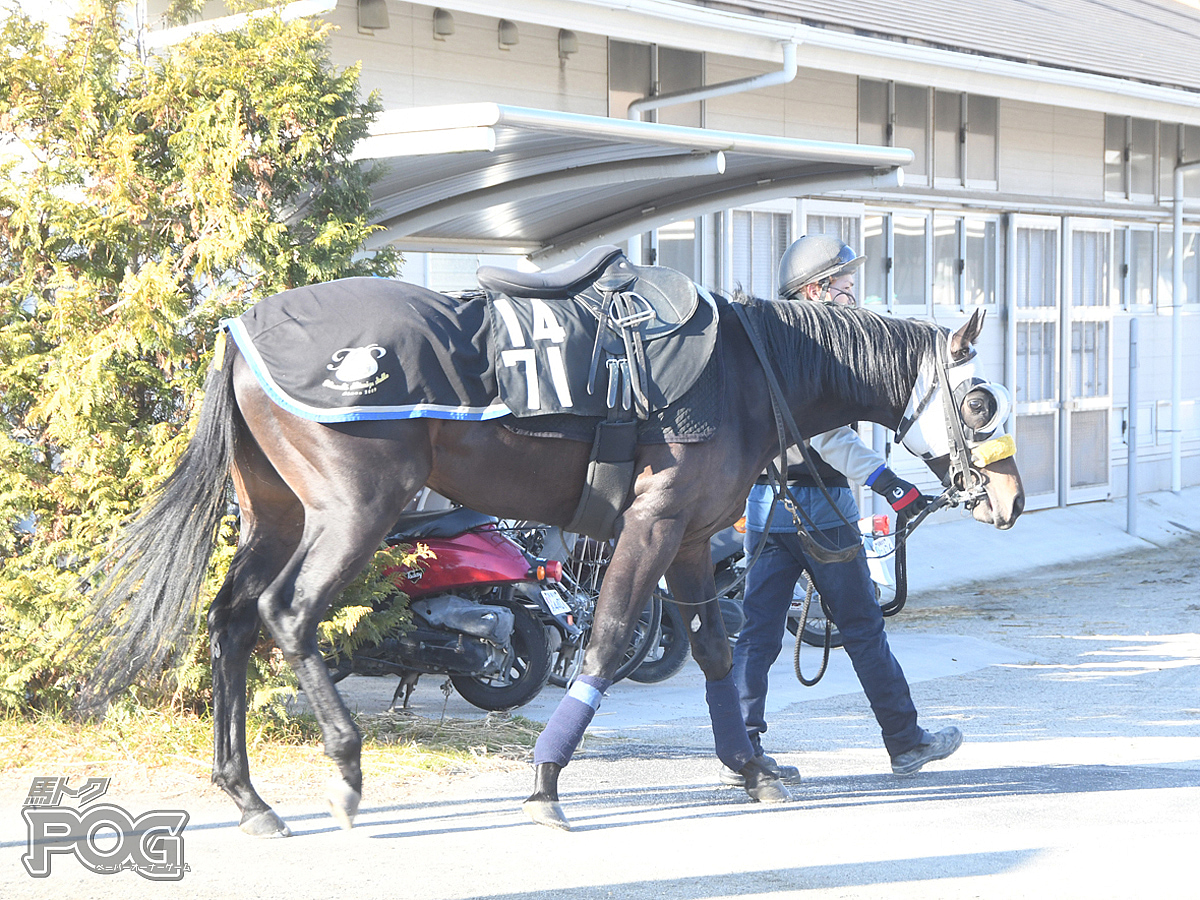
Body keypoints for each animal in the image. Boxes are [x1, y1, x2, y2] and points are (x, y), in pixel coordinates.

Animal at [82, 283, 1022, 840]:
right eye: (981, 400)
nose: (1009, 498)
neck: (745, 373)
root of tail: (242, 333)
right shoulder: (652, 522)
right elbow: (605, 644)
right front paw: (544, 782)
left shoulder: (689, 538)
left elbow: (717, 654)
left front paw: (752, 768)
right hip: (351, 511)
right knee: (288, 614)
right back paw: (345, 766)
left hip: (274, 513)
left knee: (231, 622)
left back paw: (248, 797)